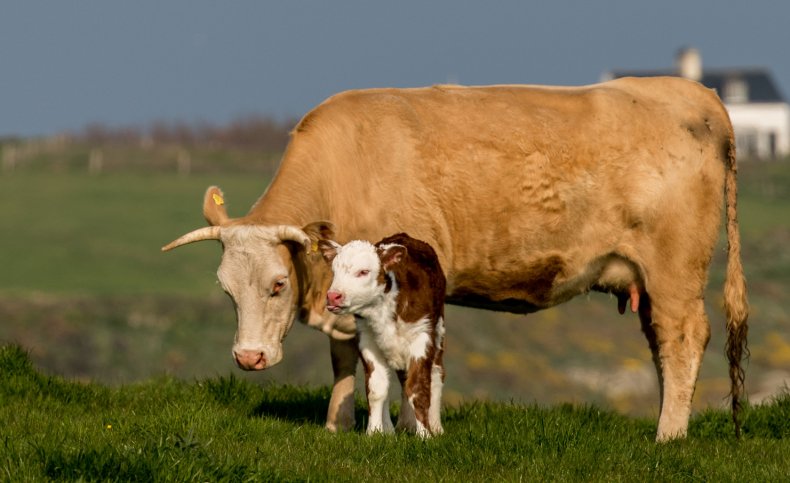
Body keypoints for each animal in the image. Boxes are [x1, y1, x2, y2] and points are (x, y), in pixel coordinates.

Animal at [320, 234, 448, 438]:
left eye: (363, 271)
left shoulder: (421, 336)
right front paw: (374, 432)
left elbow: (418, 388)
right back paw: (393, 429)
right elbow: (377, 388)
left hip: (438, 329)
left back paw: (435, 426)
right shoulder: (367, 340)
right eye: (334, 271)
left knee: (436, 373)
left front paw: (425, 435)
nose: (333, 296)